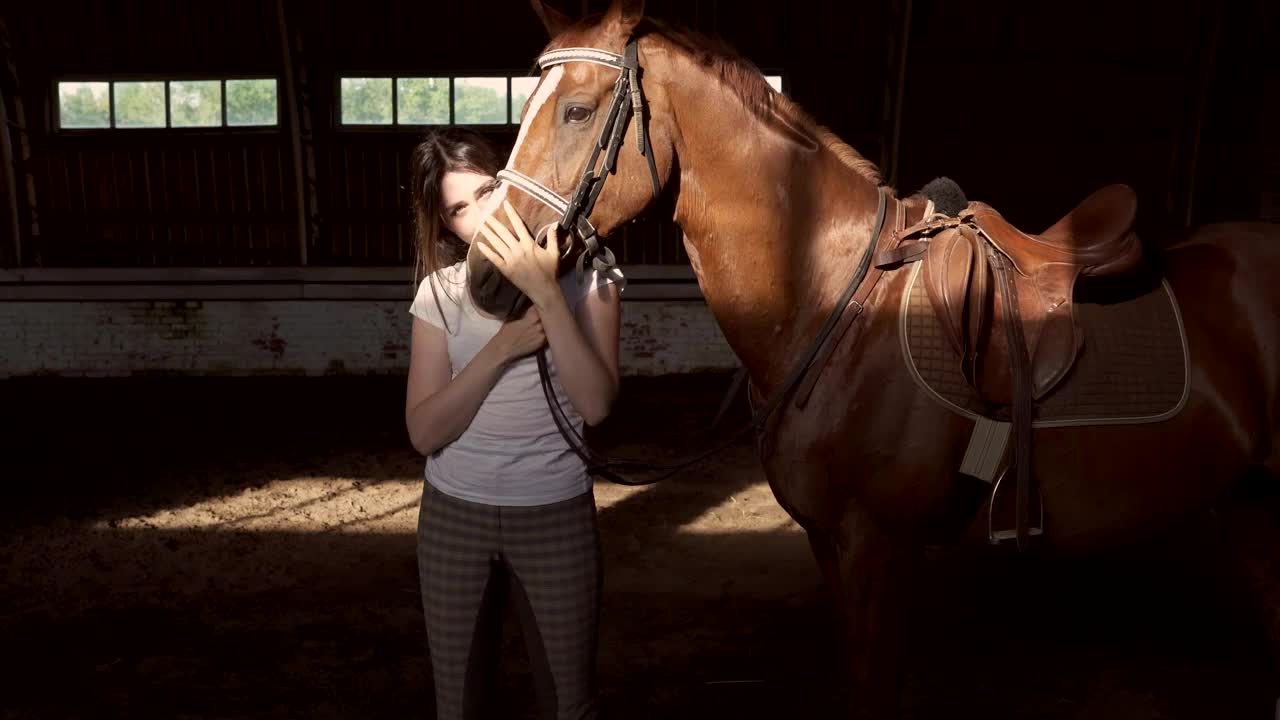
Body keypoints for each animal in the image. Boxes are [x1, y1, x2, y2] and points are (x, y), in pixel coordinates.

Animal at [468, 0, 1280, 712]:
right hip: (1247, 508)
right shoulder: (831, 545)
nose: (486, 279)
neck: (834, 299)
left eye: (577, 111)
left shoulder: (878, 548)